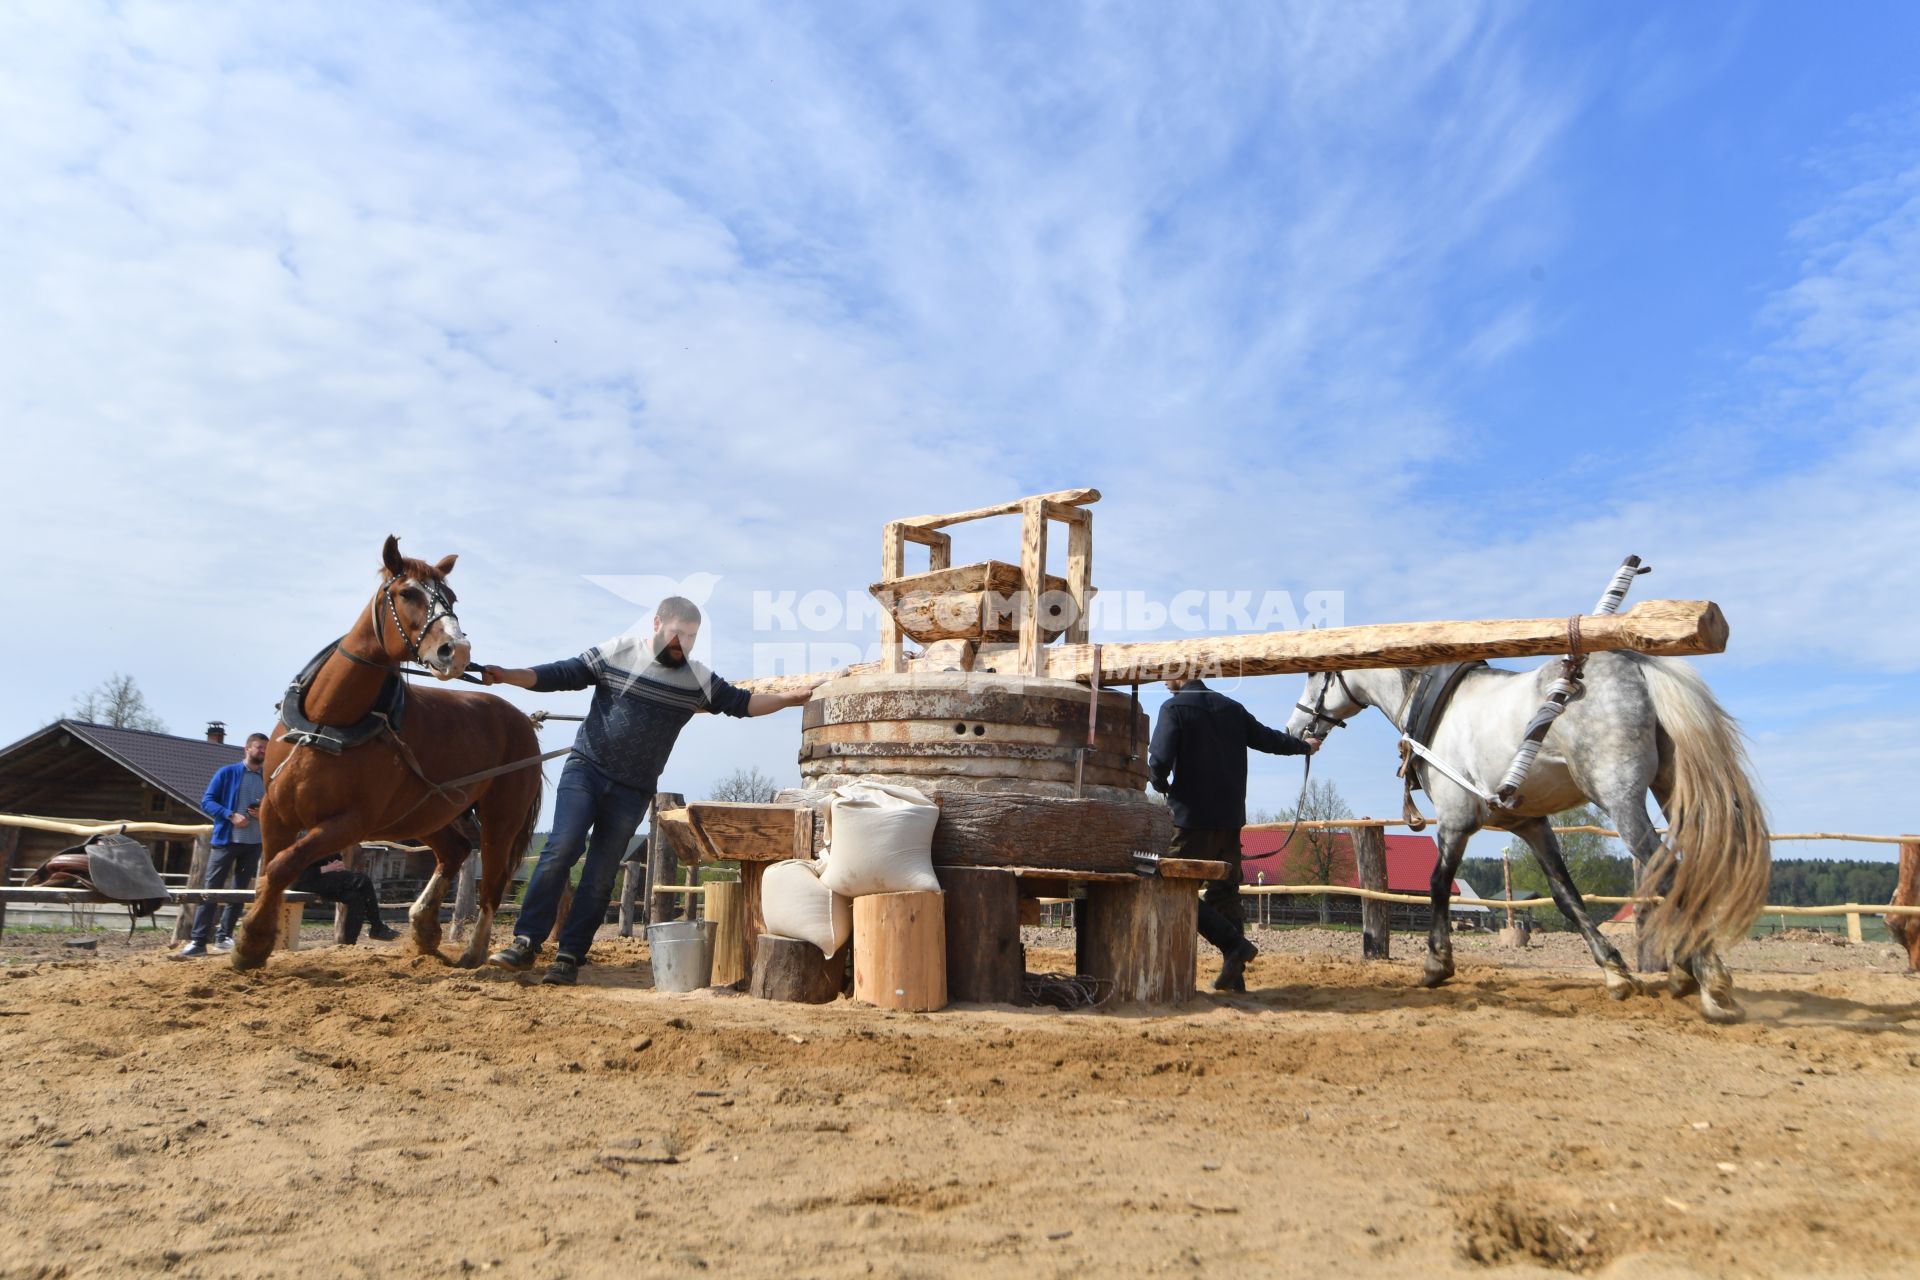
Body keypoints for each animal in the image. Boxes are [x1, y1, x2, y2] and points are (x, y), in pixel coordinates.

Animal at [238, 537, 549, 967]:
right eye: (407, 593)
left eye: (451, 597)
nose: (458, 651)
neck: (324, 722)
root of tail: (521, 721)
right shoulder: (274, 811)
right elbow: (271, 871)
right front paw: (256, 938)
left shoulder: (349, 823)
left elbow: (284, 865)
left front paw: (251, 941)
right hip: (429, 812)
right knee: (454, 852)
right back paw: (424, 926)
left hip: (500, 818)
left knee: (492, 880)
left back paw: (474, 951)